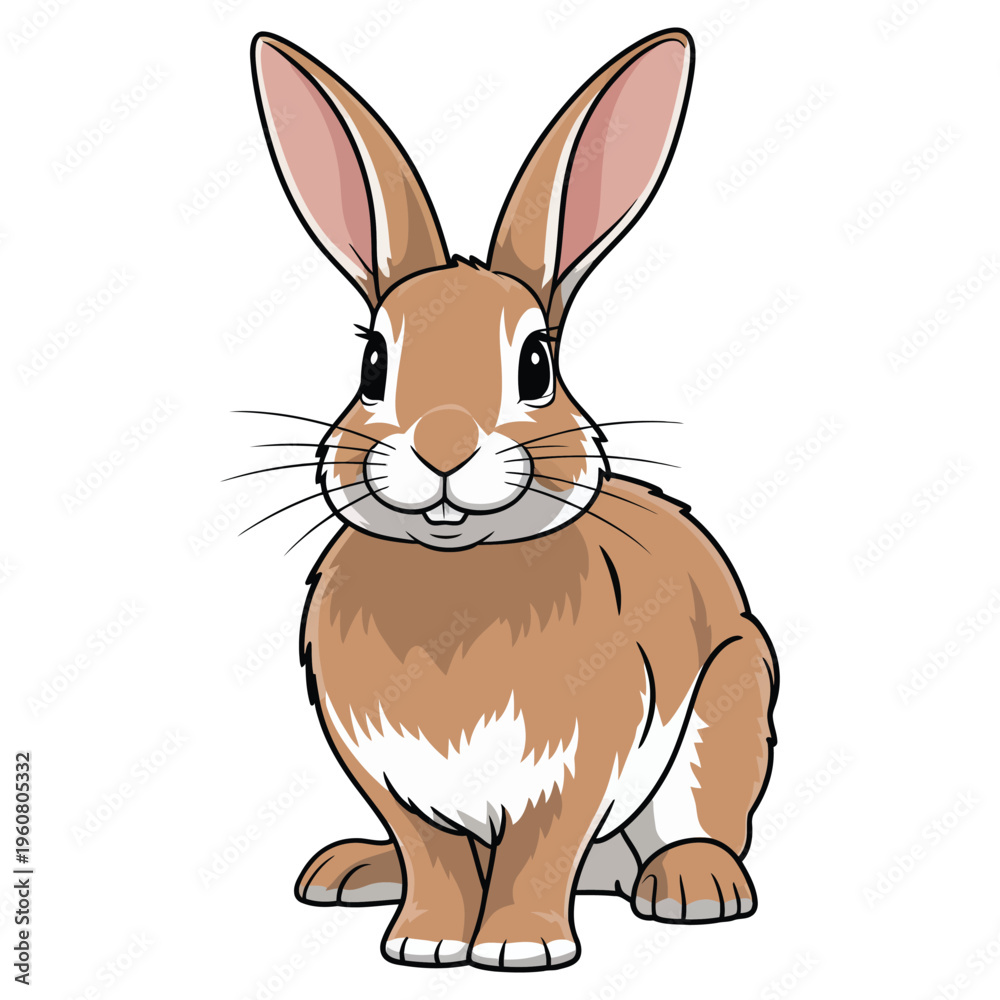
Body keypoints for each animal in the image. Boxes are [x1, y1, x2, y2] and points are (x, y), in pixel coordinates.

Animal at [249, 28, 777, 971]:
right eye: (373, 364)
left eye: (536, 364)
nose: (444, 444)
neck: (456, 570)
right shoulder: (391, 779)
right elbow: (432, 859)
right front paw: (423, 942)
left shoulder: (578, 768)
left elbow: (540, 855)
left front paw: (518, 948)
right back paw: (352, 869)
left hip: (731, 697)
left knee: (697, 824)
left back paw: (693, 887)